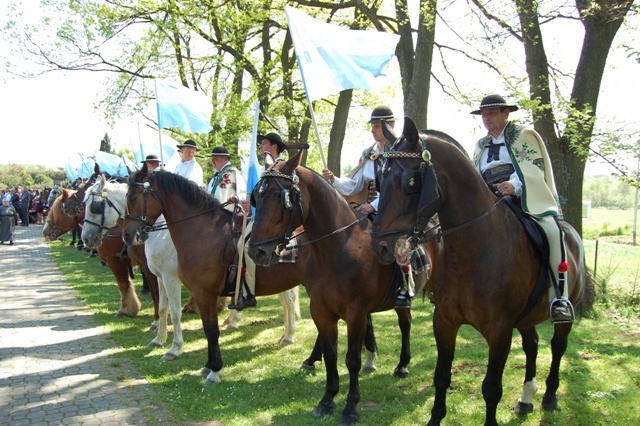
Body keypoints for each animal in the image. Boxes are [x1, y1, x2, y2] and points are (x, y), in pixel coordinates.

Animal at [245, 151, 430, 424]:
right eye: (256, 196)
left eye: (280, 196)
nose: (256, 251)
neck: (337, 248)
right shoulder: (321, 311)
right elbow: (331, 353)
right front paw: (327, 399)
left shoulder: (356, 314)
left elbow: (351, 359)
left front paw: (351, 406)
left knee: (406, 324)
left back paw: (403, 365)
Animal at [370, 116, 596, 426]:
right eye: (379, 179)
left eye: (410, 181)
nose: (380, 246)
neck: (471, 250)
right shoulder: (444, 321)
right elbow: (441, 377)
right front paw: (434, 418)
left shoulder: (499, 330)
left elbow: (491, 388)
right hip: (526, 318)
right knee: (532, 345)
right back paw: (526, 398)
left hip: (561, 316)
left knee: (557, 347)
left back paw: (549, 396)